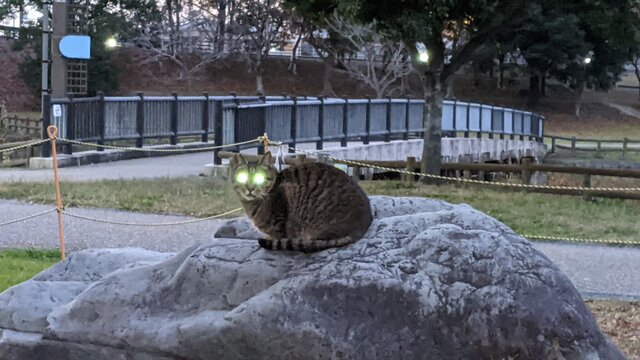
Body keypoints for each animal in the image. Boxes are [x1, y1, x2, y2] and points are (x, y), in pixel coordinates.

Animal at [230, 153, 372, 253]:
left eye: (259, 178)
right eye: (243, 177)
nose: (249, 188)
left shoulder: (281, 215)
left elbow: (279, 233)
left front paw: (271, 239)